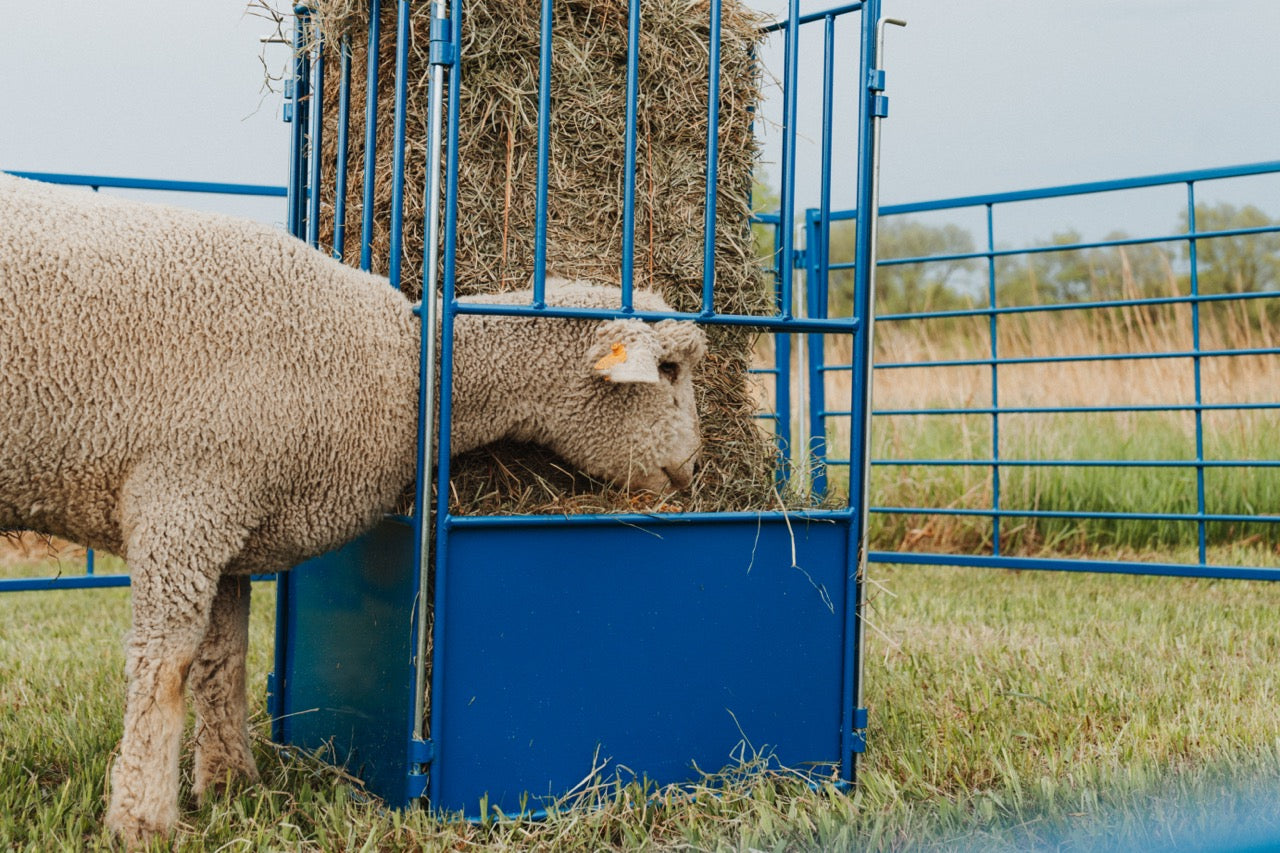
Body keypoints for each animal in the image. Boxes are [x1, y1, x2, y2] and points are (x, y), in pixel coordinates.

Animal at [0, 173, 706, 843]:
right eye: (668, 371)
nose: (691, 469)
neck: (409, 368)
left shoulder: (231, 520)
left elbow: (222, 660)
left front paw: (231, 788)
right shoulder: (186, 498)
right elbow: (165, 665)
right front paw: (143, 820)